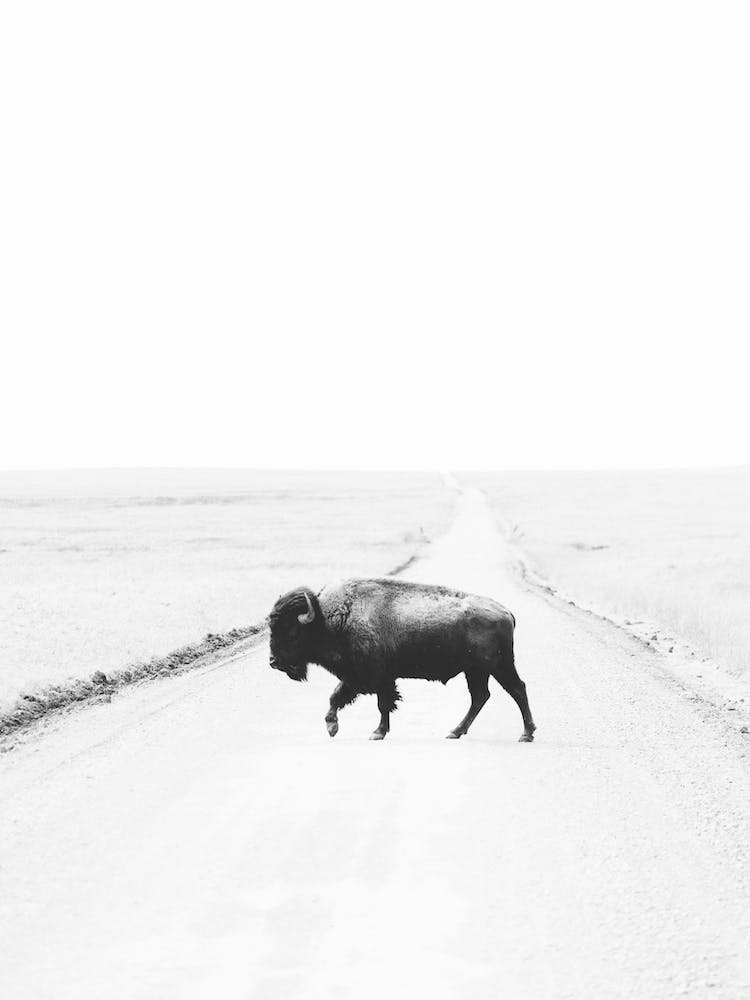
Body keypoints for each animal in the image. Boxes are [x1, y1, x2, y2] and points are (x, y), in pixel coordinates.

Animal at [268, 577, 536, 742]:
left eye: (292, 632)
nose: (273, 661)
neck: (329, 619)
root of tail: (506, 612)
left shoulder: (372, 677)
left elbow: (374, 702)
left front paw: (370, 732)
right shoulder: (367, 677)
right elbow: (344, 698)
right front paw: (338, 727)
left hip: (498, 666)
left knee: (517, 689)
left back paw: (526, 734)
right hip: (476, 671)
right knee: (480, 697)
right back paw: (455, 731)